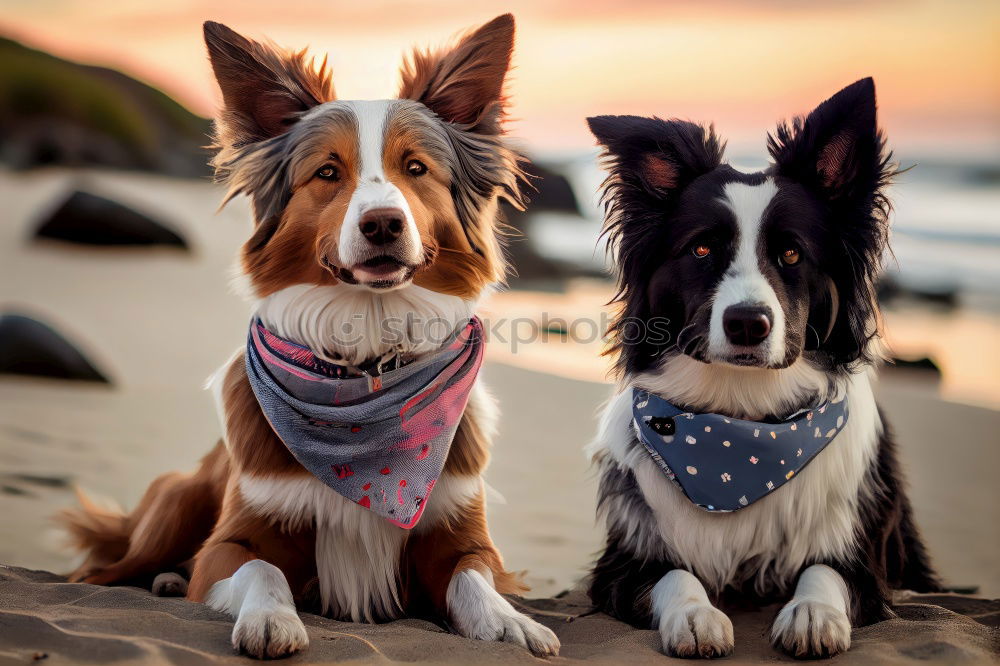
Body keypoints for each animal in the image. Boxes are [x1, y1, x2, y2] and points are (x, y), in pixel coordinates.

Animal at [58, 15, 564, 660]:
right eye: (328, 172)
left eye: (415, 169)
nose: (382, 224)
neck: (368, 363)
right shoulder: (235, 539)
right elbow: (263, 569)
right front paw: (271, 619)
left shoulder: (461, 531)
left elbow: (474, 578)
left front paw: (509, 622)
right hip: (176, 499)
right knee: (107, 568)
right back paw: (160, 578)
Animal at [584, 79, 940, 660]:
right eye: (702, 249)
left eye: (792, 254)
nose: (748, 323)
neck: (743, 423)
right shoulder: (623, 561)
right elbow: (675, 575)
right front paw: (696, 617)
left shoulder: (863, 562)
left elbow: (823, 570)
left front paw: (813, 614)